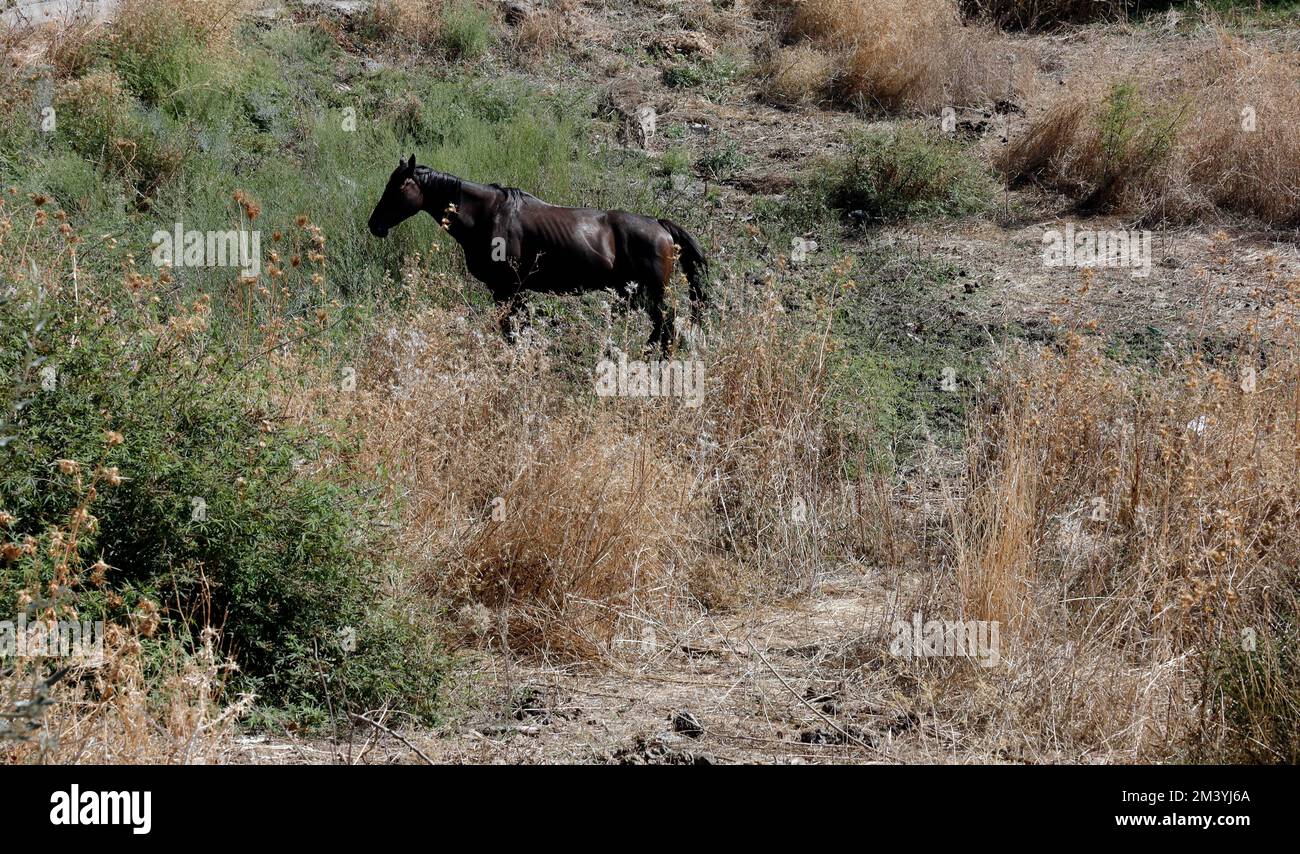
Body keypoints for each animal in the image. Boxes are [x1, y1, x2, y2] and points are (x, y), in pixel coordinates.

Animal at [367, 155, 707, 352]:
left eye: (399, 187)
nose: (374, 224)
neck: (490, 215)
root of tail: (660, 226)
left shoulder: (508, 290)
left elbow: (513, 331)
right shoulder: (510, 292)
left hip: (654, 293)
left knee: (667, 327)